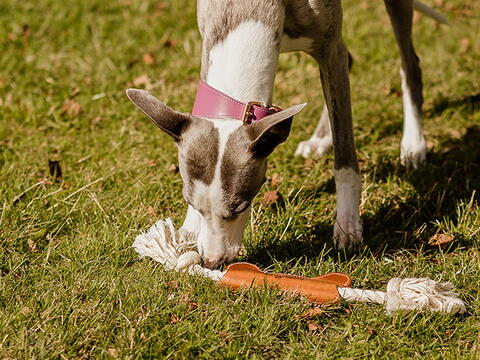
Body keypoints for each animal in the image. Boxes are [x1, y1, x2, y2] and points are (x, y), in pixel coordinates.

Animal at [126, 0, 446, 268]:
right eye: (193, 203)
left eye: (241, 206)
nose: (212, 263)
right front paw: (189, 228)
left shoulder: (329, 47)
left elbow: (345, 157)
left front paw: (347, 223)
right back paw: (320, 139)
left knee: (410, 65)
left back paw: (413, 144)